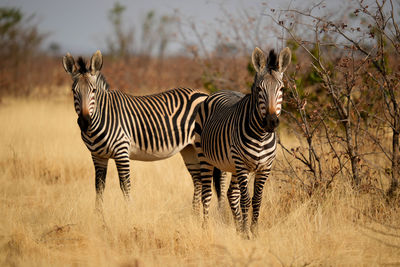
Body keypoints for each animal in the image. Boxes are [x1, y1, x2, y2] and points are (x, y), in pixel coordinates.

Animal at [61, 49, 222, 214]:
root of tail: (203, 94)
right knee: (198, 180)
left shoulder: (121, 151)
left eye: (93, 91)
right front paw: (98, 217)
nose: (84, 122)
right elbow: (99, 187)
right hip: (189, 148)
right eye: (73, 91)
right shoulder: (97, 156)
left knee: (217, 180)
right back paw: (194, 215)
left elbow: (125, 185)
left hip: (204, 146)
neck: (102, 117)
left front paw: (129, 214)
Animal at [194, 47, 290, 238]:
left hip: (231, 166)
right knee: (207, 194)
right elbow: (246, 199)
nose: (271, 122)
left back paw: (237, 229)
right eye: (259, 89)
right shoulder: (242, 165)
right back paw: (205, 228)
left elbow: (257, 199)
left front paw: (253, 231)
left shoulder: (265, 168)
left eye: (282, 88)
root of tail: (219, 91)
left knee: (231, 194)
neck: (261, 136)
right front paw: (247, 233)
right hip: (206, 158)